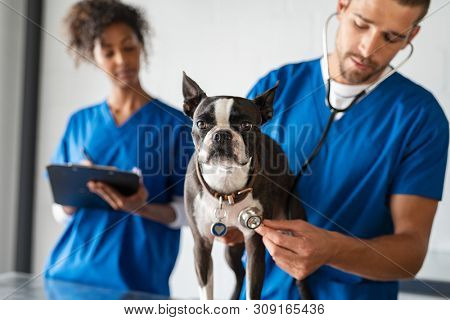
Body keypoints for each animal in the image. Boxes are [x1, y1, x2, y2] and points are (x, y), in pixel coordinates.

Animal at [182, 73, 310, 300]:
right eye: (201, 123)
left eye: (247, 126)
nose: (222, 134)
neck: (225, 184)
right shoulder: (201, 245)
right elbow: (206, 291)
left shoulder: (254, 245)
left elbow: (253, 290)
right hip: (231, 250)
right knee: (239, 273)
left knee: (299, 278)